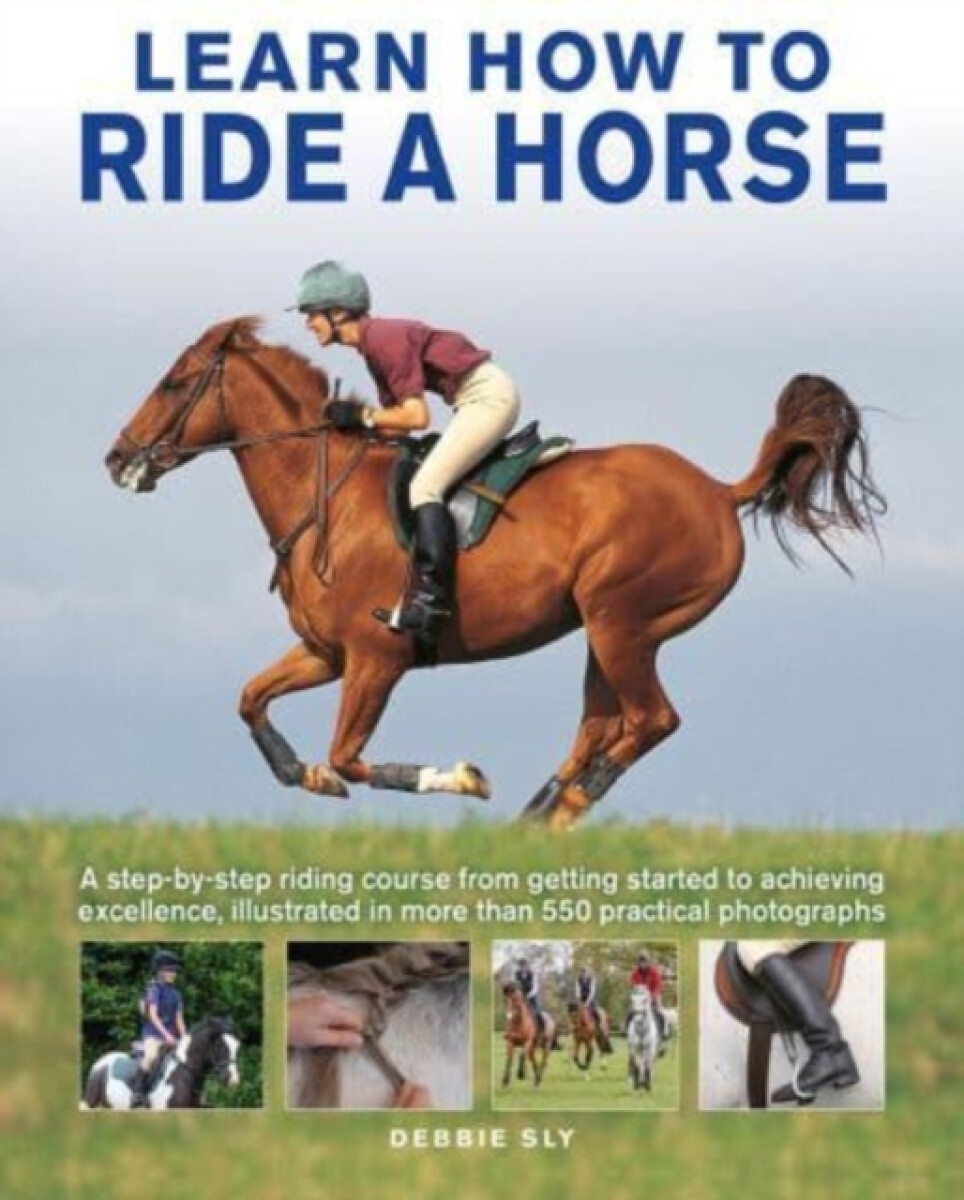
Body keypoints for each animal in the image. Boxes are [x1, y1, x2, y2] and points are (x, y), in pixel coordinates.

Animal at [105, 318, 885, 829]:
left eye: (174, 382)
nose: (117, 459)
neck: (324, 495)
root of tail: (719, 491)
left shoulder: (376, 659)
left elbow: (351, 757)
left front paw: (461, 777)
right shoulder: (326, 653)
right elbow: (251, 700)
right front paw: (306, 775)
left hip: (622, 621)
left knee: (650, 719)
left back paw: (563, 808)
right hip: (605, 631)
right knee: (603, 723)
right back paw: (541, 813)